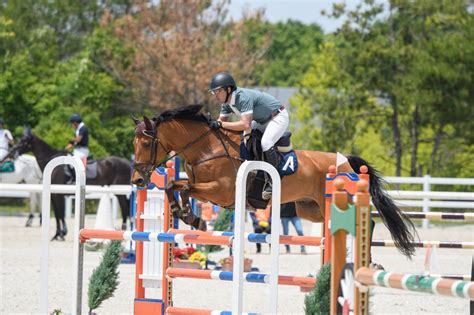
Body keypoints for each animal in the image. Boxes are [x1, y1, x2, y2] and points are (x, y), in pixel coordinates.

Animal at [131, 105, 416, 260]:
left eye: (145, 144)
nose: (137, 179)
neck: (206, 149)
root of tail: (345, 161)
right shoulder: (208, 191)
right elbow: (174, 186)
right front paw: (186, 215)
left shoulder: (222, 192)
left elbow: (185, 188)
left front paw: (192, 217)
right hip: (310, 209)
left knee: (367, 222)